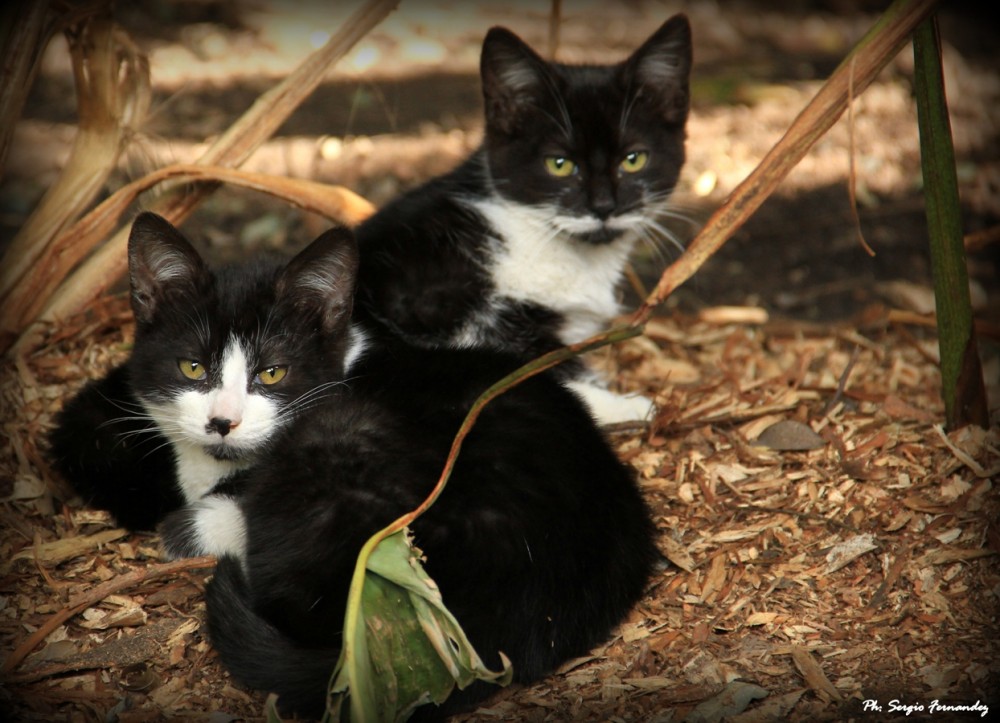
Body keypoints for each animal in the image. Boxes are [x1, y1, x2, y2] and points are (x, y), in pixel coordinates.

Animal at [356, 14, 692, 424]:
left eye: (634, 159)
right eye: (558, 164)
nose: (603, 206)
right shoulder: (423, 300)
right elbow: (524, 364)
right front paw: (623, 403)